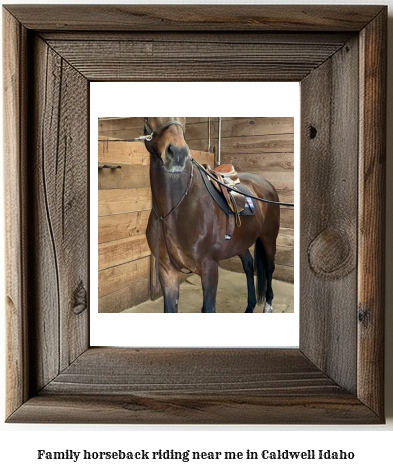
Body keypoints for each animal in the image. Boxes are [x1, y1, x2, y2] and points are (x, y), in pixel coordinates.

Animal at [144, 116, 278, 312]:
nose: (177, 153)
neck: (172, 211)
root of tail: (266, 184)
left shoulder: (210, 268)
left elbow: (208, 307)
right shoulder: (167, 271)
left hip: (269, 237)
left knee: (269, 268)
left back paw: (268, 305)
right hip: (240, 242)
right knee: (248, 264)